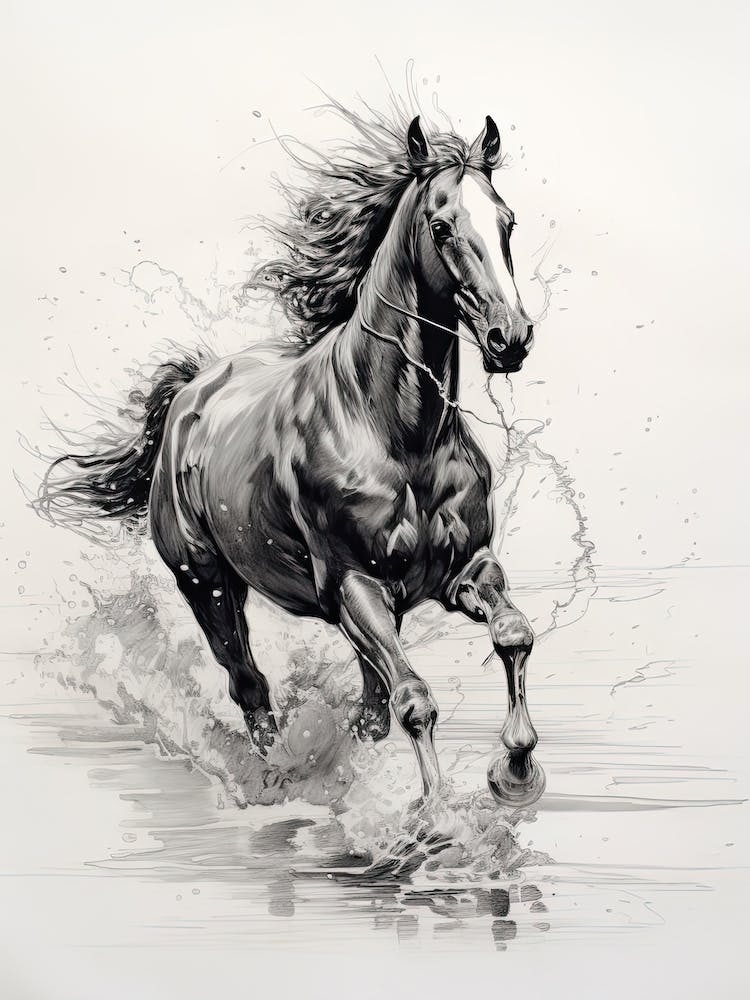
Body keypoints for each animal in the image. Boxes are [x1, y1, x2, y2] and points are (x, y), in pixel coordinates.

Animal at [36, 110, 545, 808]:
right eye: (442, 226)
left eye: (508, 221)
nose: (510, 337)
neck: (396, 433)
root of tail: (192, 393)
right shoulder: (353, 585)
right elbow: (414, 698)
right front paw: (439, 817)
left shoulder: (463, 569)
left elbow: (512, 635)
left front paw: (516, 771)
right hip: (207, 582)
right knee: (251, 683)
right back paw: (273, 776)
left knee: (367, 701)